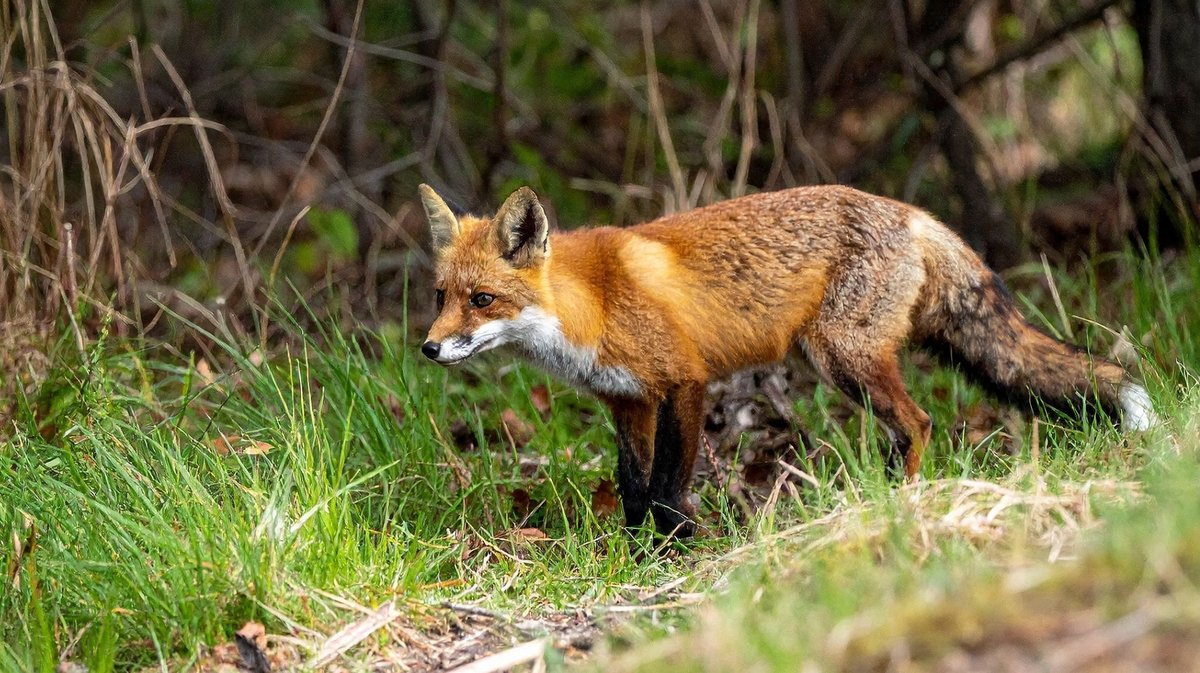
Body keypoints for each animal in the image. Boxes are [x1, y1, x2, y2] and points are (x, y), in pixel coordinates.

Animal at [417, 183, 1157, 538]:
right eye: (440, 296)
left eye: (482, 299)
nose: (428, 347)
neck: (589, 304)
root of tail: (911, 211)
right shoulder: (627, 400)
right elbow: (632, 487)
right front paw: (632, 552)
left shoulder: (684, 383)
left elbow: (666, 487)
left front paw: (676, 550)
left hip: (842, 357)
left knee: (919, 422)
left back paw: (906, 503)